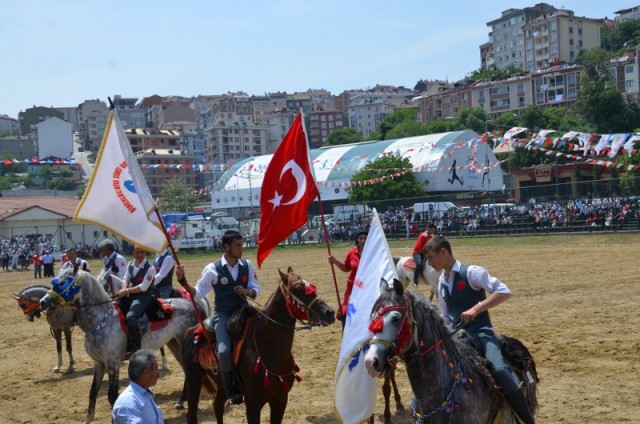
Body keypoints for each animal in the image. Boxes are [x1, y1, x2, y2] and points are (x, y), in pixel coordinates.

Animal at [37, 270, 206, 422]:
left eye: (61, 282)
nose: (42, 302)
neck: (100, 320)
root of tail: (193, 304)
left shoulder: (113, 363)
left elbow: (112, 396)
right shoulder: (99, 363)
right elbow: (93, 392)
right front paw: (88, 419)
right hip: (174, 344)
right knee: (186, 371)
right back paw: (181, 401)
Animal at [180, 268, 336, 424]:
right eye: (298, 289)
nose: (330, 312)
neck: (269, 348)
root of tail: (189, 331)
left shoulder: (280, 400)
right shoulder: (253, 403)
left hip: (221, 386)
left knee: (217, 406)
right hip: (194, 380)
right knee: (192, 415)